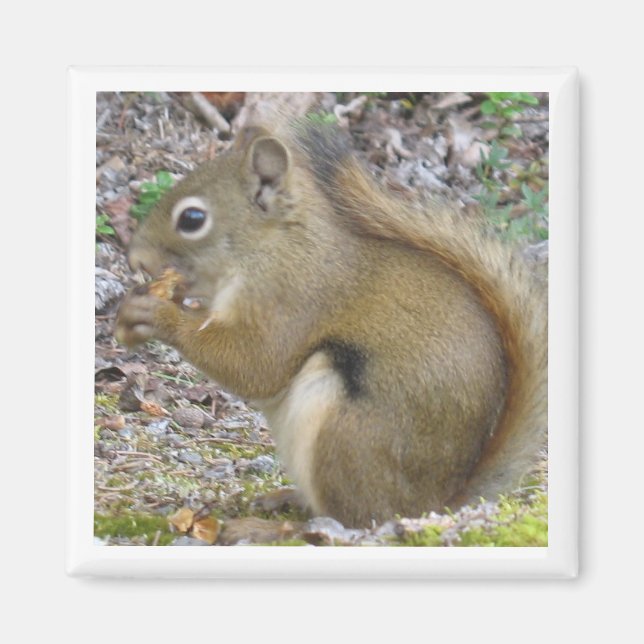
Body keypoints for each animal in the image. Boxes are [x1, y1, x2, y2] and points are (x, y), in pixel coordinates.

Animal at [115, 119, 548, 527]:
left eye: (192, 218)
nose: (136, 259)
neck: (271, 246)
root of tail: (432, 506)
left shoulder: (289, 299)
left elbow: (257, 365)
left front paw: (157, 315)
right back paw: (282, 499)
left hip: (346, 437)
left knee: (355, 519)